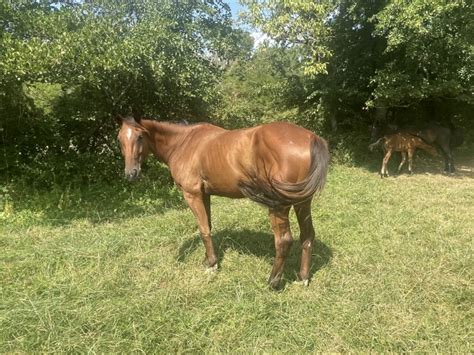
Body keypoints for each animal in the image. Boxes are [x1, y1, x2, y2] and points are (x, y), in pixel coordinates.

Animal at [115, 114, 330, 290]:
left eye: (140, 137)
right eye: (120, 139)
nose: (131, 174)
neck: (184, 143)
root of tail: (311, 138)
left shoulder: (192, 194)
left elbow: (203, 229)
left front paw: (211, 265)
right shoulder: (205, 195)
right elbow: (208, 226)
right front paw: (208, 260)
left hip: (279, 206)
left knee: (284, 241)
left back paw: (272, 282)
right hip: (302, 203)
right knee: (307, 236)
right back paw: (303, 278)